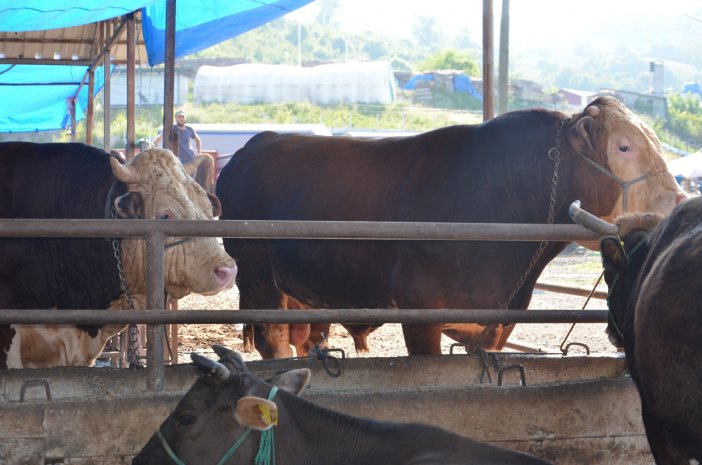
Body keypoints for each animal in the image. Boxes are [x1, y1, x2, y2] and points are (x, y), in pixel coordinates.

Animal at [217, 97, 684, 358]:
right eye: (623, 147)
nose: (680, 203)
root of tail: (259, 143)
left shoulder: (496, 324)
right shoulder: (420, 314)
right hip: (257, 279)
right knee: (274, 344)